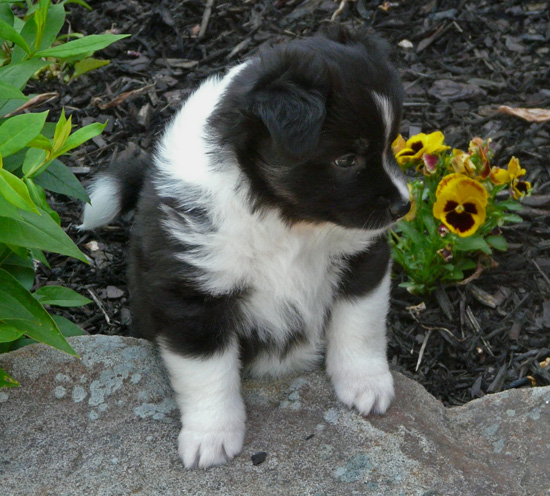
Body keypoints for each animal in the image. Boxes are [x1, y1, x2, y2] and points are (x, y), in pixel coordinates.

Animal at [81, 27, 410, 468]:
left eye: (392, 144)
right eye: (347, 159)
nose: (403, 206)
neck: (286, 220)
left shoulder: (362, 257)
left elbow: (361, 322)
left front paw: (366, 384)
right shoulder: (192, 293)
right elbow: (207, 370)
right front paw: (211, 437)